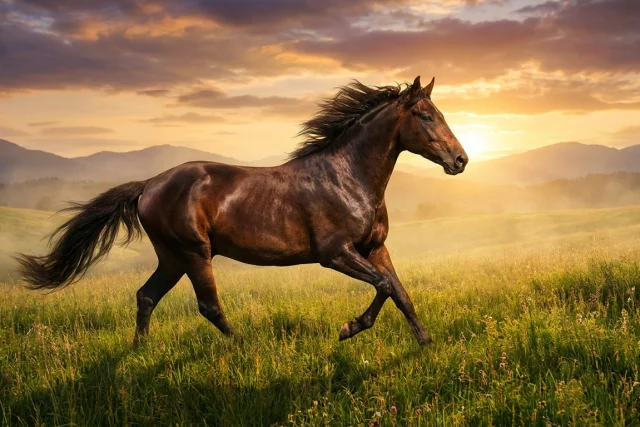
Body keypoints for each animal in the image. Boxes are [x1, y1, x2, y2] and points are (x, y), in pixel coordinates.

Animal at [16, 76, 468, 346]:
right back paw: (240, 344)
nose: (460, 160)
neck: (348, 176)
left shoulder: (375, 249)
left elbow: (400, 292)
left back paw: (138, 350)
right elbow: (385, 287)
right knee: (207, 305)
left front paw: (425, 344)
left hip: (172, 257)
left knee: (146, 296)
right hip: (194, 253)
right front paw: (349, 329)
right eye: (426, 116)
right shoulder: (335, 253)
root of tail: (148, 185)